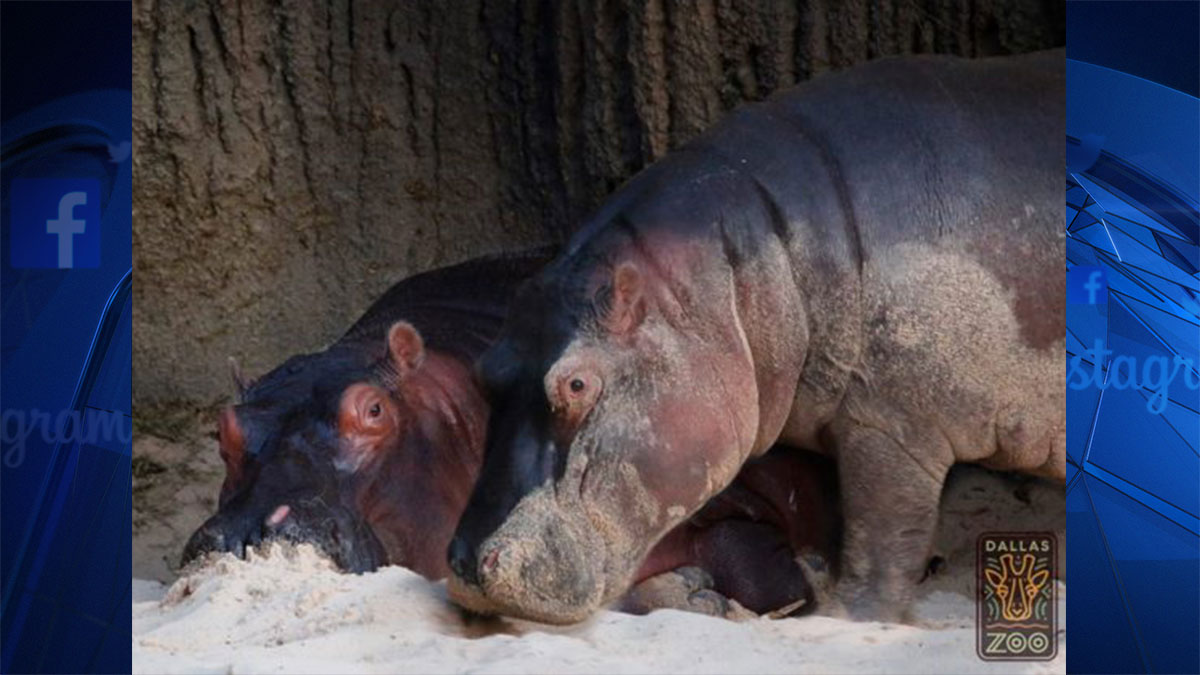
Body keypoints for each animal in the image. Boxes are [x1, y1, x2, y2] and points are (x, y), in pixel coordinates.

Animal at [446, 50, 1066, 624]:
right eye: (485, 369)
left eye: (575, 385)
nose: (464, 564)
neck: (746, 267)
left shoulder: (893, 426)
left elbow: (882, 538)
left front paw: (843, 616)